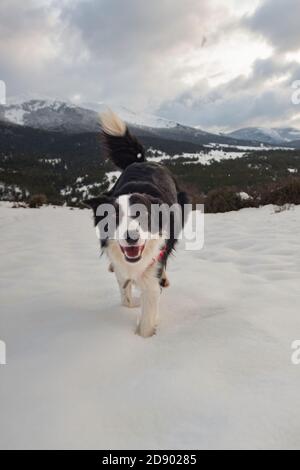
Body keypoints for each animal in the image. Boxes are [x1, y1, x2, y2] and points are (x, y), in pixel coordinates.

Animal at [88, 111, 189, 338]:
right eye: (114, 217)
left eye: (141, 216)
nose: (131, 237)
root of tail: (143, 161)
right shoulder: (122, 271)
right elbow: (125, 296)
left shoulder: (151, 277)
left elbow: (147, 320)